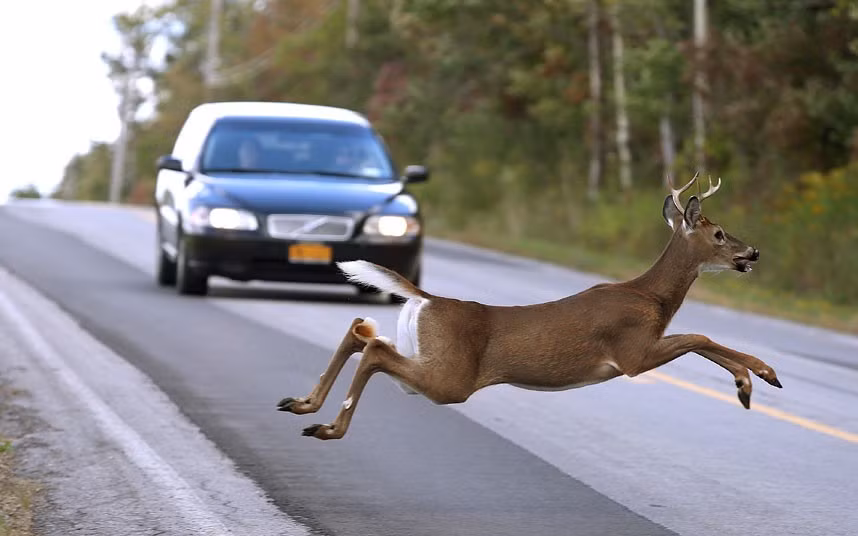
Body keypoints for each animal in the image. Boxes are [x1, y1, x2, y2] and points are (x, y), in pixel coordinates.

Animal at [277, 173, 782, 440]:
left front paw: (752, 380)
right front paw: (756, 378)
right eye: (719, 234)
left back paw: (302, 405)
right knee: (375, 349)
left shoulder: (640, 350)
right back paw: (328, 427)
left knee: (362, 331)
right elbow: (699, 335)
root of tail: (429, 299)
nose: (754, 252)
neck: (652, 297)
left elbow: (700, 338)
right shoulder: (632, 353)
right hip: (451, 378)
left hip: (428, 357)